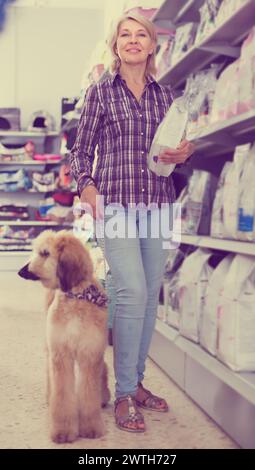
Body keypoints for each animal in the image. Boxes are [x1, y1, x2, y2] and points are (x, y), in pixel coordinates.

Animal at [17, 231, 109, 444]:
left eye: (45, 253)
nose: (22, 271)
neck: (76, 297)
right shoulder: (61, 353)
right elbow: (62, 395)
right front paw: (63, 431)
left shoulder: (90, 352)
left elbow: (89, 393)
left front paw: (91, 428)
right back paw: (49, 398)